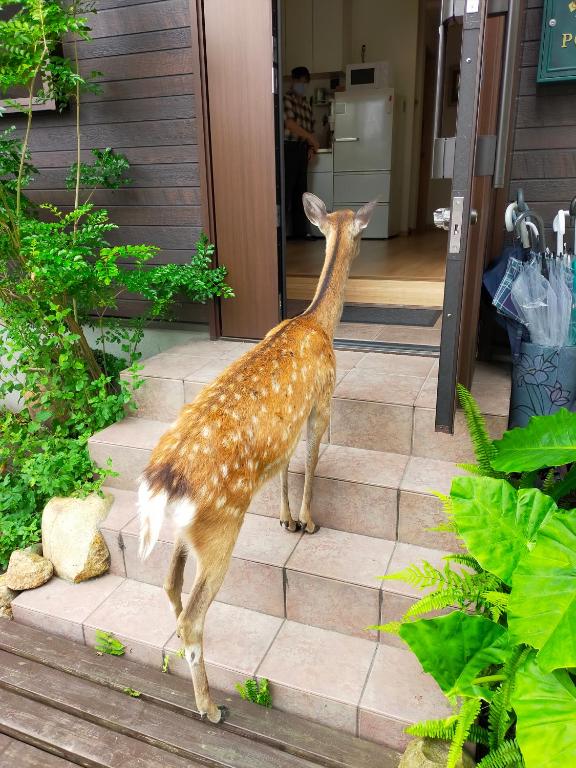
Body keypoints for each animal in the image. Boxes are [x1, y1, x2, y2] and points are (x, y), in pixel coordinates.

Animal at [138, 193, 375, 723]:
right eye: (361, 231)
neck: (317, 322)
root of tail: (162, 483)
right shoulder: (322, 401)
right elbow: (311, 460)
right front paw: (308, 521)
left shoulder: (284, 432)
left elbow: (285, 466)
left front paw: (286, 519)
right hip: (220, 528)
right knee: (194, 616)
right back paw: (210, 707)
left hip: (187, 532)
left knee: (168, 584)